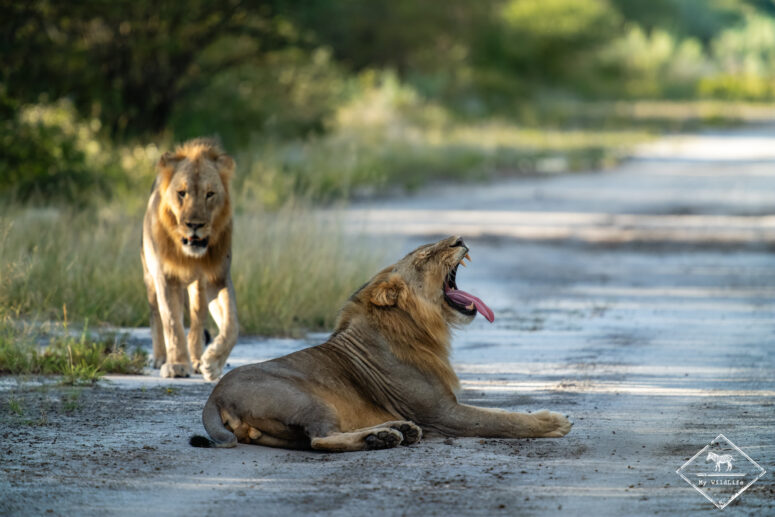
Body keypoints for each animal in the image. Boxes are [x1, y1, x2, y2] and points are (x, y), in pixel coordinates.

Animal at [141, 138, 238, 381]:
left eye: (210, 194)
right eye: (182, 193)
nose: (195, 224)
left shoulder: (218, 277)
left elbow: (232, 324)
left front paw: (212, 362)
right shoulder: (165, 277)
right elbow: (172, 322)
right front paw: (176, 365)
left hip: (199, 287)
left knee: (197, 319)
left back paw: (196, 359)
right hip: (149, 277)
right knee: (155, 315)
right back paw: (160, 357)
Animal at [190, 236, 571, 451]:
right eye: (424, 257)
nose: (459, 238)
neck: (420, 329)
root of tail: (214, 397)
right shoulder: (441, 414)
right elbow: (500, 419)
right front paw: (552, 422)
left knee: (309, 439)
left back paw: (394, 431)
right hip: (308, 399)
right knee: (318, 440)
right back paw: (384, 438)